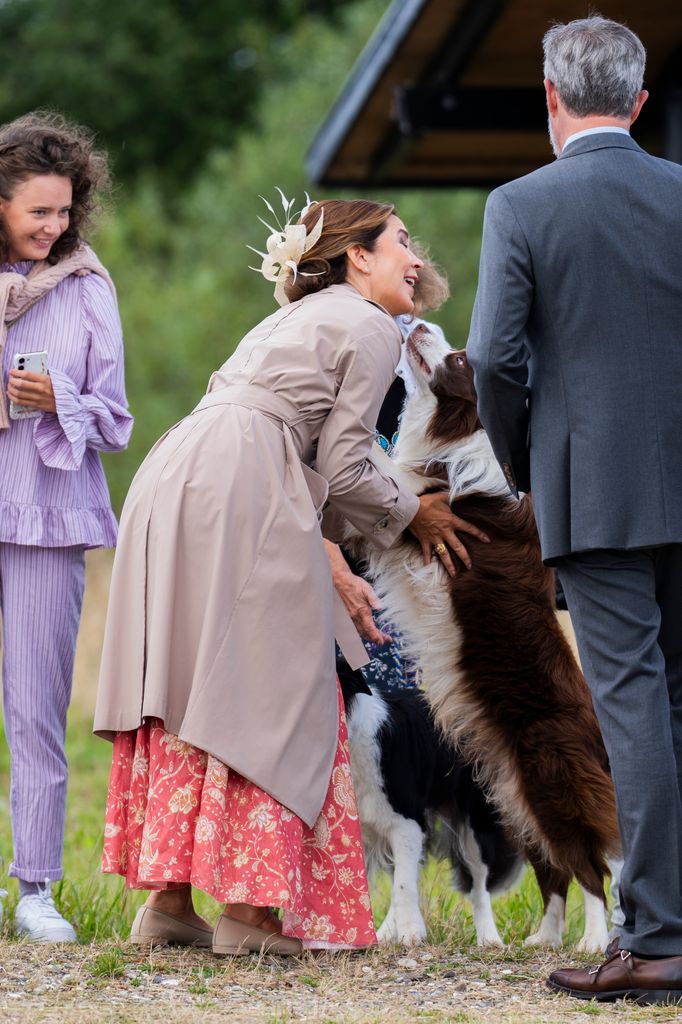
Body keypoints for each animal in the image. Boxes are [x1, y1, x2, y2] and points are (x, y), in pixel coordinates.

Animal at [335, 655, 520, 942]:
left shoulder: (407, 822)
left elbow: (404, 885)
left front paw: (411, 934)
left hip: (475, 823)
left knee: (479, 883)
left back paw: (489, 939)